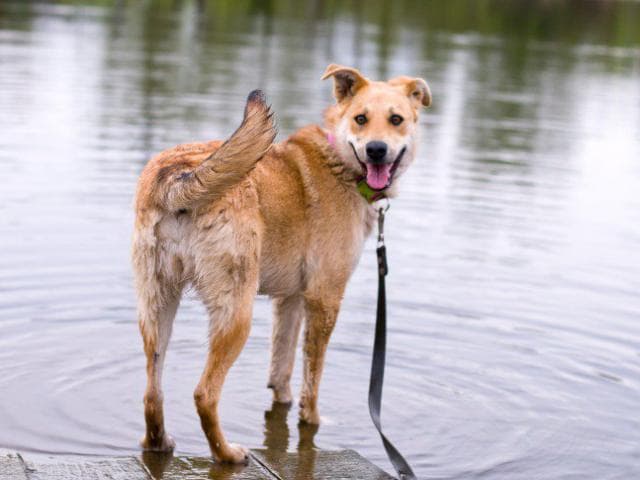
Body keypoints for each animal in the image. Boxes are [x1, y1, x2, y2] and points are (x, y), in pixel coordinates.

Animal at [131, 65, 430, 464]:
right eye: (361, 119)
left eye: (396, 119)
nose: (376, 150)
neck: (339, 161)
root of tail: (179, 177)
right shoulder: (324, 298)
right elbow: (312, 376)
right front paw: (312, 420)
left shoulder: (290, 299)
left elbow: (282, 366)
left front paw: (283, 397)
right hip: (235, 313)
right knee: (204, 394)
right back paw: (227, 453)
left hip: (157, 305)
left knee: (152, 392)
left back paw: (158, 442)